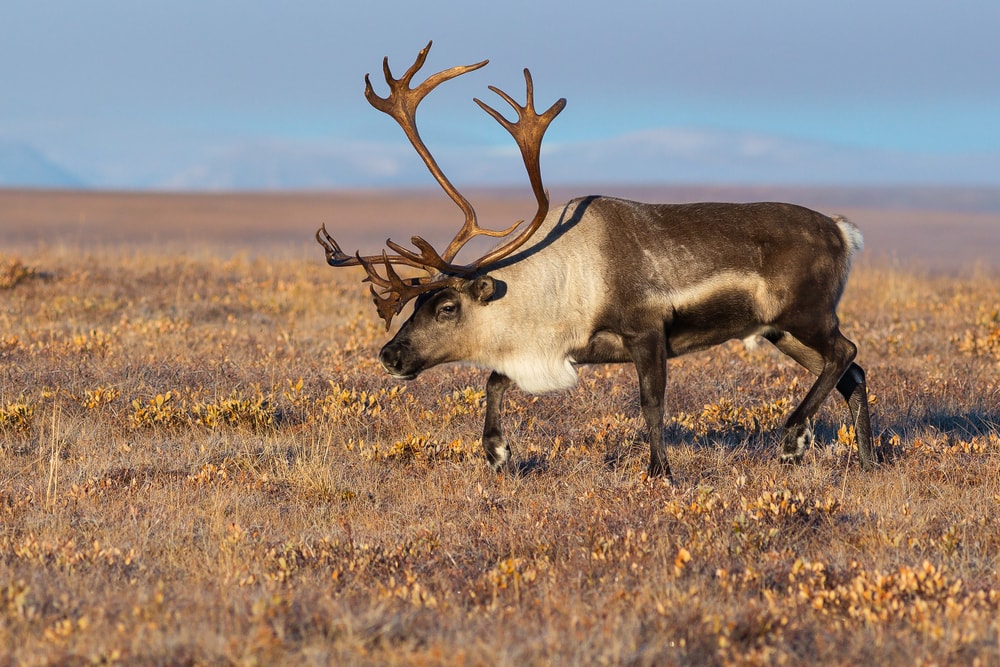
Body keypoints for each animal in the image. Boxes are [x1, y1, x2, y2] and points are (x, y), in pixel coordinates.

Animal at [317, 42, 876, 478]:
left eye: (447, 307)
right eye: (417, 304)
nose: (390, 355)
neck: (558, 280)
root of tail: (842, 230)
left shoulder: (647, 332)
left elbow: (652, 404)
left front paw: (660, 472)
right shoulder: (571, 348)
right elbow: (494, 379)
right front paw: (497, 451)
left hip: (806, 315)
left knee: (845, 353)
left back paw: (794, 439)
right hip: (781, 330)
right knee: (851, 371)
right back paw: (868, 462)